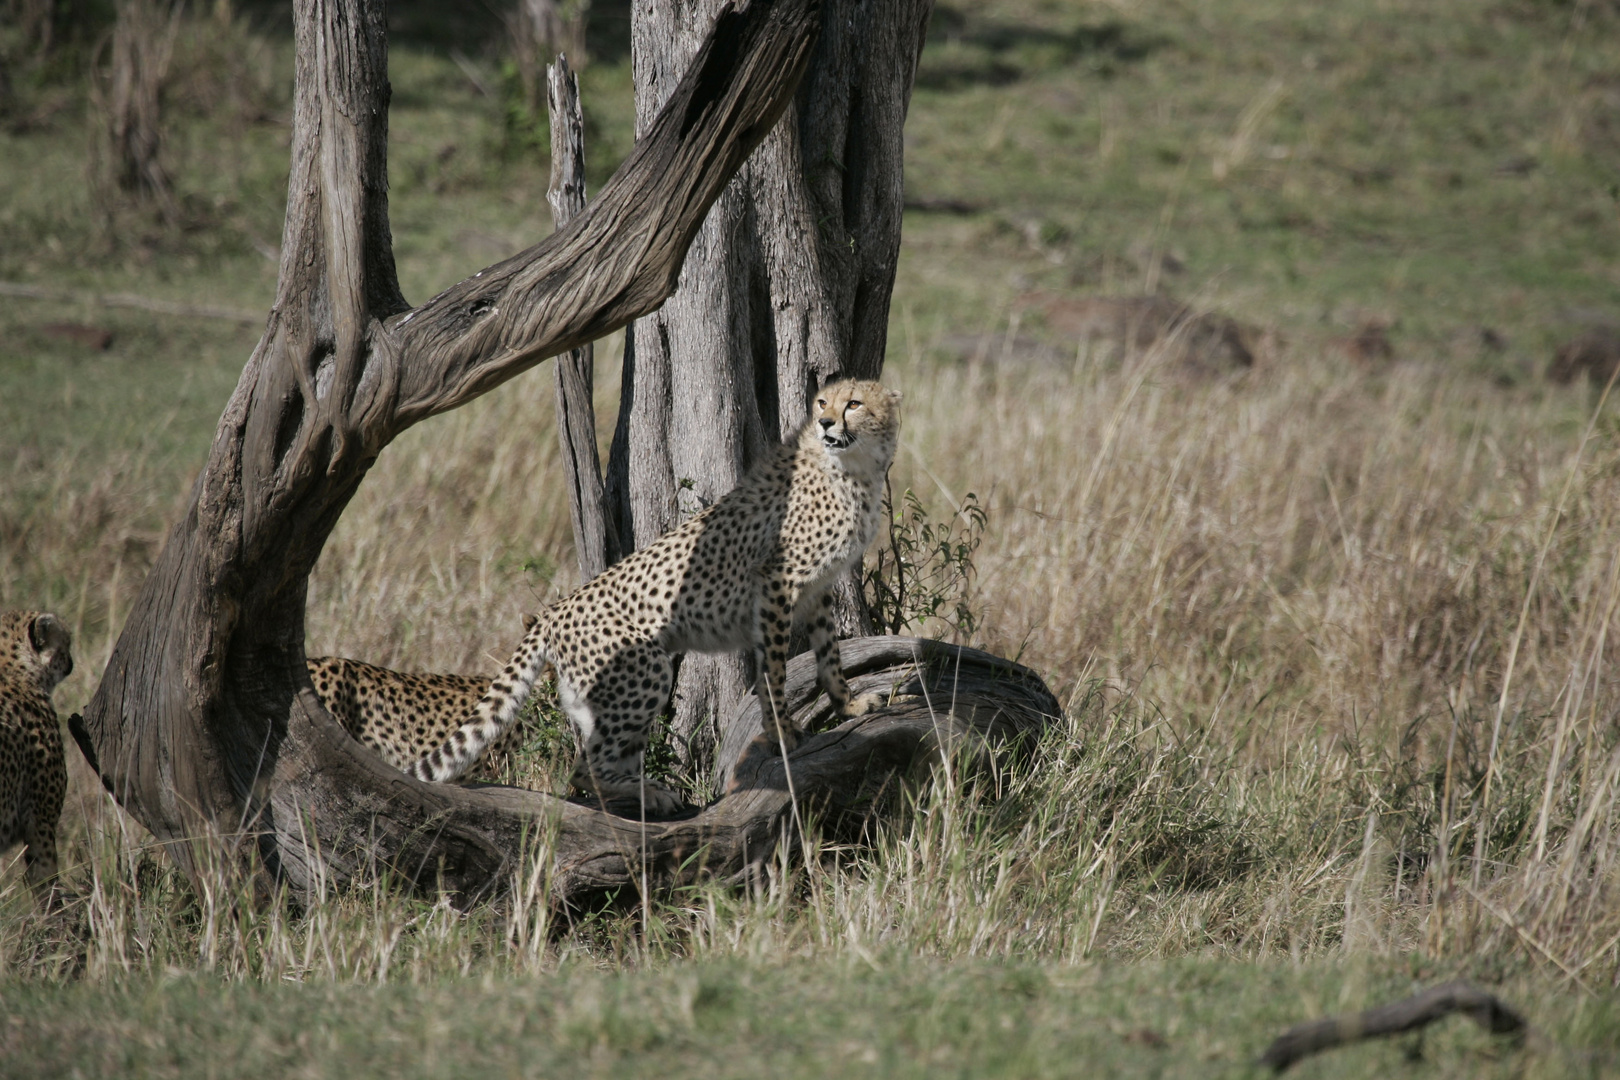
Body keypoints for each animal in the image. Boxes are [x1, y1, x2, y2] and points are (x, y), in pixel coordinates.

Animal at [411, 378, 907, 809]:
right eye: (822, 402)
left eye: (853, 403)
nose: (825, 423)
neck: (854, 470)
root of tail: (554, 610)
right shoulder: (775, 583)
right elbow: (775, 671)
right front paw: (782, 732)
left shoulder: (818, 588)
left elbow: (829, 654)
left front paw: (849, 704)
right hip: (644, 667)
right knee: (583, 769)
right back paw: (647, 793)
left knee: (602, 758)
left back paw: (646, 792)